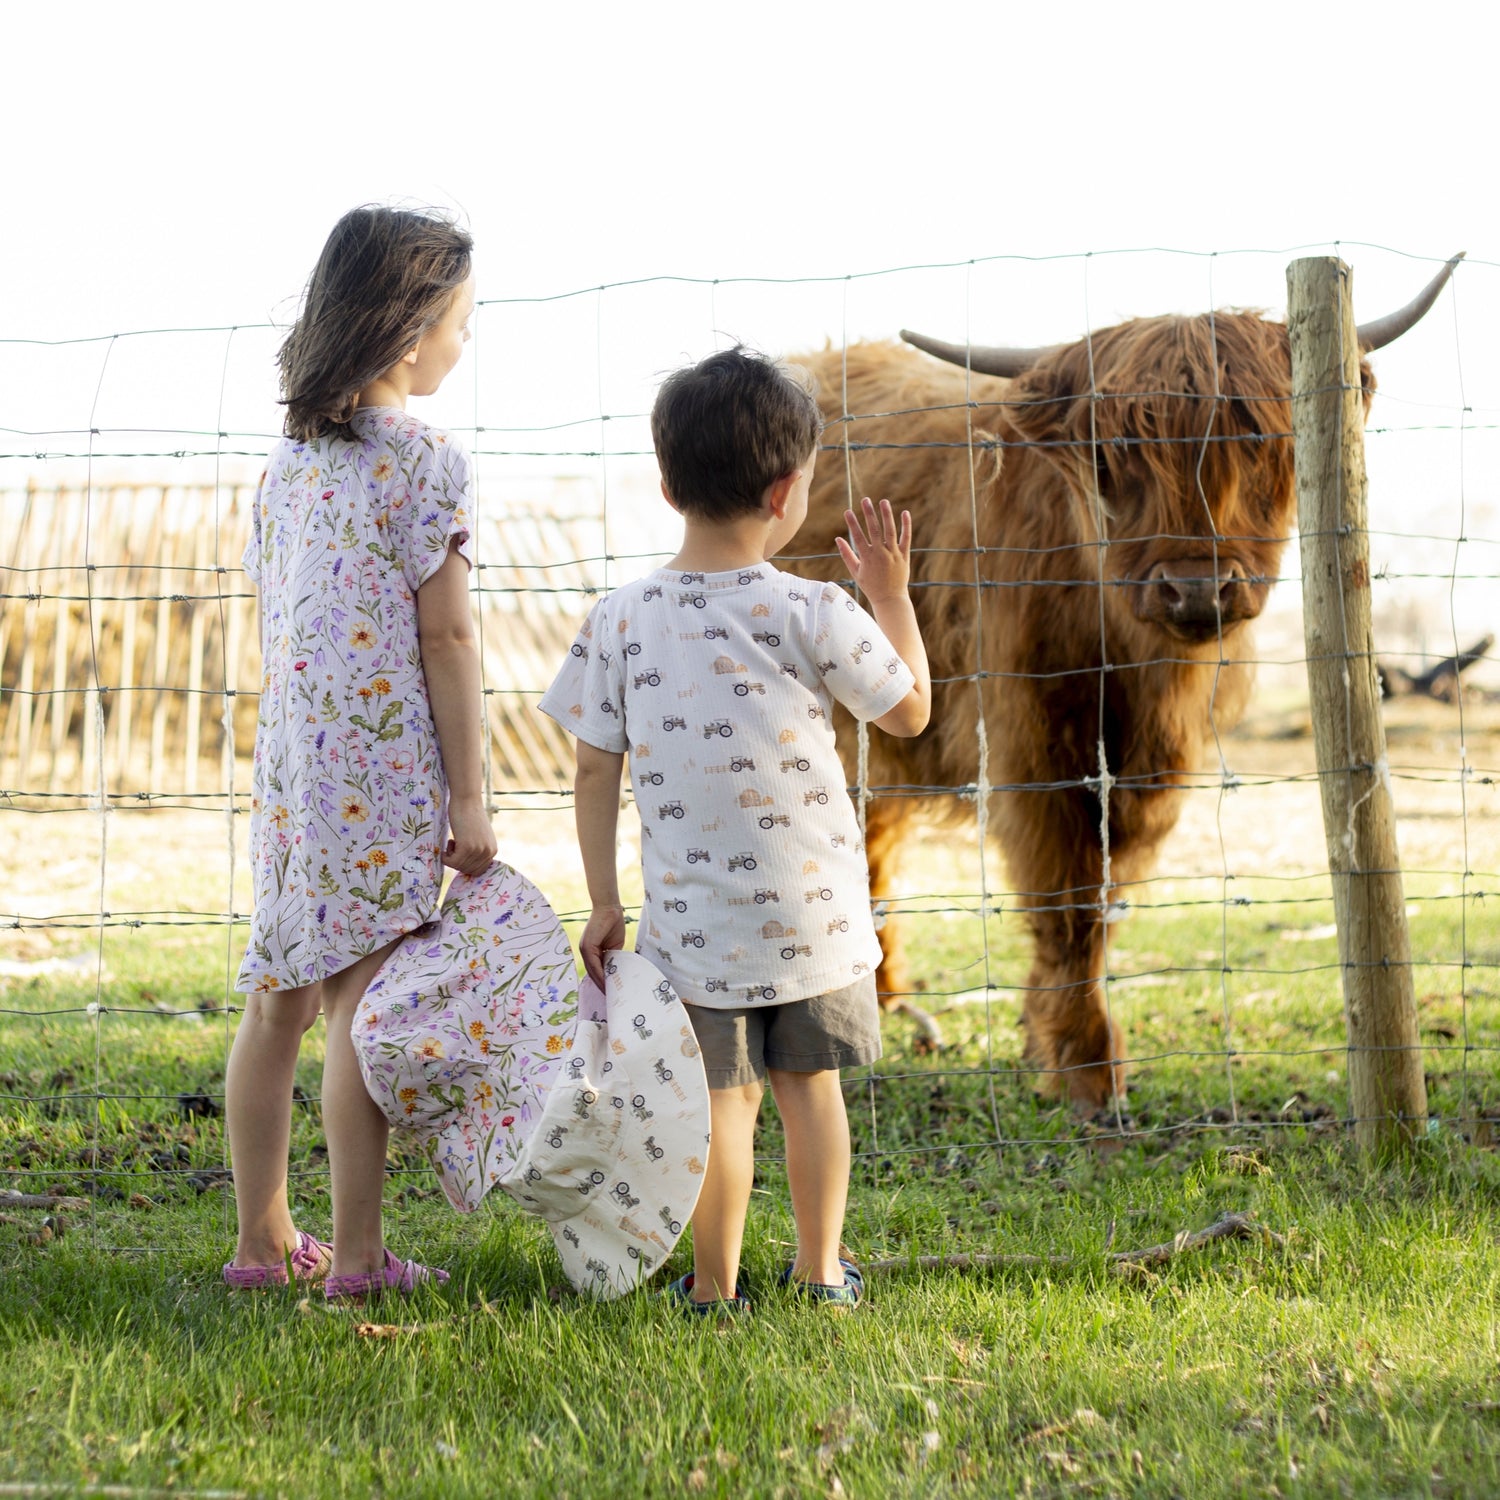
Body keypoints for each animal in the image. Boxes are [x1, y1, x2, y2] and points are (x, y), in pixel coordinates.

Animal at [780, 257, 1461, 1110]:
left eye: (1257, 440)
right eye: (1116, 453)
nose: (1196, 590)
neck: (1130, 671)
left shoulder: (1151, 764)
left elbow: (1103, 897)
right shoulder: (1035, 745)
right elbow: (1067, 898)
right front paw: (1086, 1068)